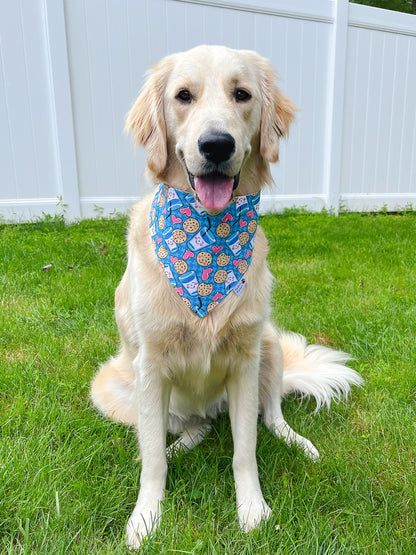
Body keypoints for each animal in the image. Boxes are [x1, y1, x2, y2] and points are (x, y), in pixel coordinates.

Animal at [90, 45, 360, 548]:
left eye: (242, 94)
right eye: (183, 96)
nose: (217, 145)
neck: (208, 238)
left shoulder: (244, 361)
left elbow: (245, 450)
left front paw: (252, 509)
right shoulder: (150, 366)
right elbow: (153, 458)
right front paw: (146, 517)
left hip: (269, 344)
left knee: (271, 418)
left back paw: (299, 443)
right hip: (117, 389)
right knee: (187, 431)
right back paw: (180, 446)